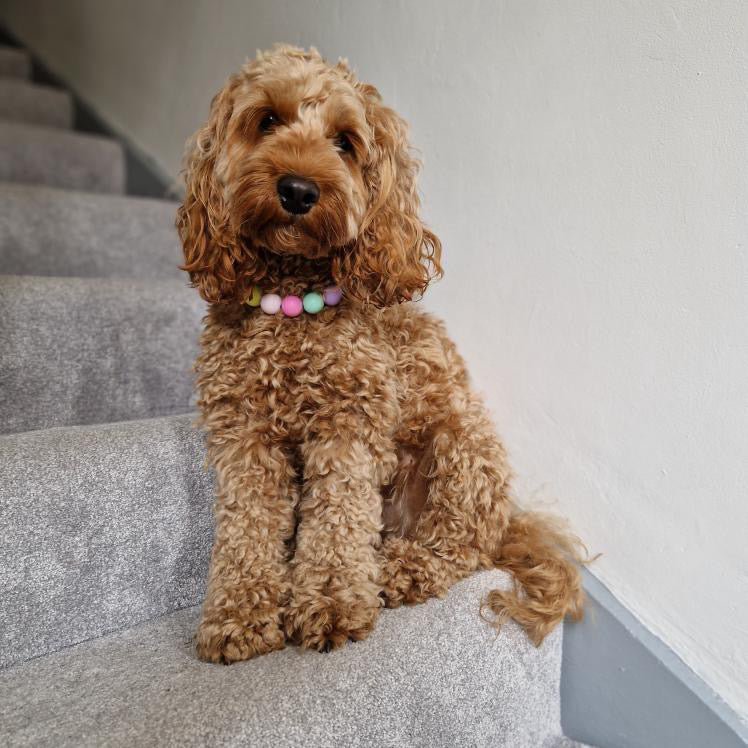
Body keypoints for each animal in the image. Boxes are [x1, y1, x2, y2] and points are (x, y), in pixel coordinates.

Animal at [175, 43, 584, 664]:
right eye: (267, 120)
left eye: (345, 140)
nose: (298, 190)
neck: (292, 305)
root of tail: (507, 522)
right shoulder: (242, 434)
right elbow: (246, 526)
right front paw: (238, 613)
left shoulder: (350, 425)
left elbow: (338, 521)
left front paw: (332, 602)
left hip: (463, 447)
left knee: (458, 547)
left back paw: (401, 568)